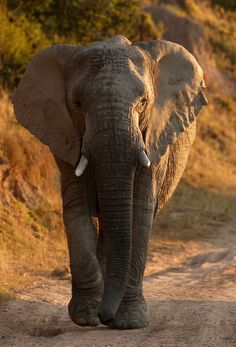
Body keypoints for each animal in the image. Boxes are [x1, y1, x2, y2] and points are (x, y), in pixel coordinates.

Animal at [11, 36, 206, 332]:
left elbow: (139, 212)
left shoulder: (153, 138)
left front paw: (130, 322)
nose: (107, 317)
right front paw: (86, 317)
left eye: (144, 102)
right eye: (77, 104)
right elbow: (77, 209)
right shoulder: (66, 137)